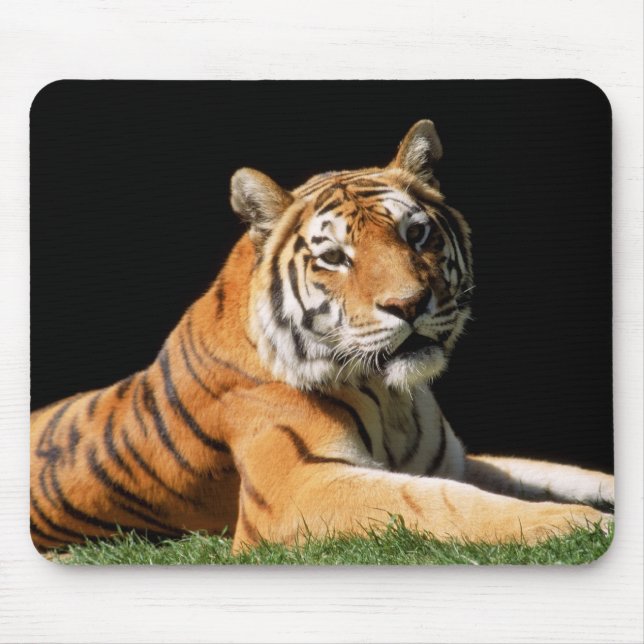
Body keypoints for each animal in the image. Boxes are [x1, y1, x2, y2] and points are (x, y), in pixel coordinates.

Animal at [30, 120, 614, 553]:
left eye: (415, 233)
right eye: (334, 257)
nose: (408, 304)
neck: (393, 399)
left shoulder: (455, 461)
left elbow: (555, 471)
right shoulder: (298, 488)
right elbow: (443, 503)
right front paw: (581, 524)